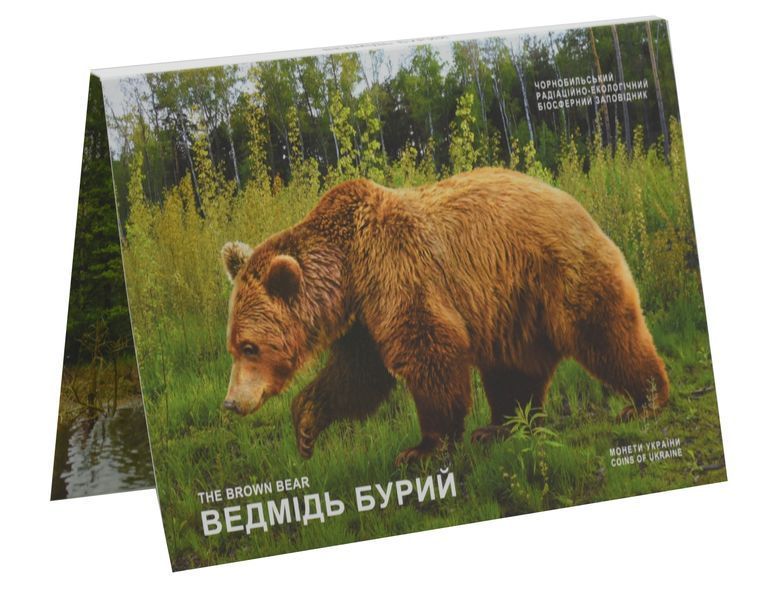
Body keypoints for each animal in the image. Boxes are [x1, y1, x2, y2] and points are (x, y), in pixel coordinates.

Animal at [221, 167, 669, 465]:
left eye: (251, 346)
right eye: (233, 347)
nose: (231, 403)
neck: (347, 269)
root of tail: (573, 201)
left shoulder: (397, 272)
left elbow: (429, 350)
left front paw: (421, 450)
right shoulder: (364, 318)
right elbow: (357, 376)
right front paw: (306, 425)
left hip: (557, 272)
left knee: (605, 332)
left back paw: (645, 400)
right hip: (512, 306)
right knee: (513, 367)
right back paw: (499, 427)